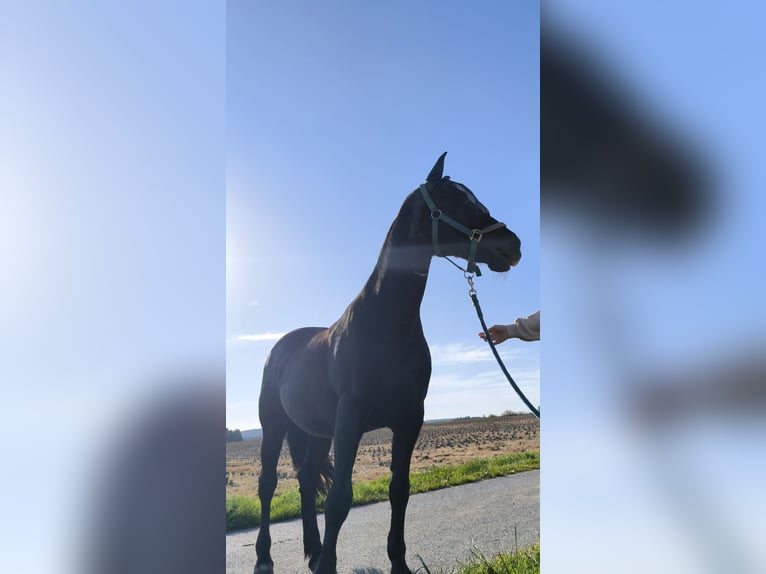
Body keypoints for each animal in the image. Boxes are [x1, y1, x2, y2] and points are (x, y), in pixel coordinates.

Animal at [255, 153, 524, 574]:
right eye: (454, 201)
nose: (512, 245)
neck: (386, 324)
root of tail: (279, 348)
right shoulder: (350, 418)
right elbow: (340, 499)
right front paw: (330, 565)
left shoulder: (409, 418)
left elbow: (400, 491)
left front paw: (397, 563)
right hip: (274, 424)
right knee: (268, 485)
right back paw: (266, 557)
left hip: (316, 432)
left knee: (306, 481)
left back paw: (313, 551)